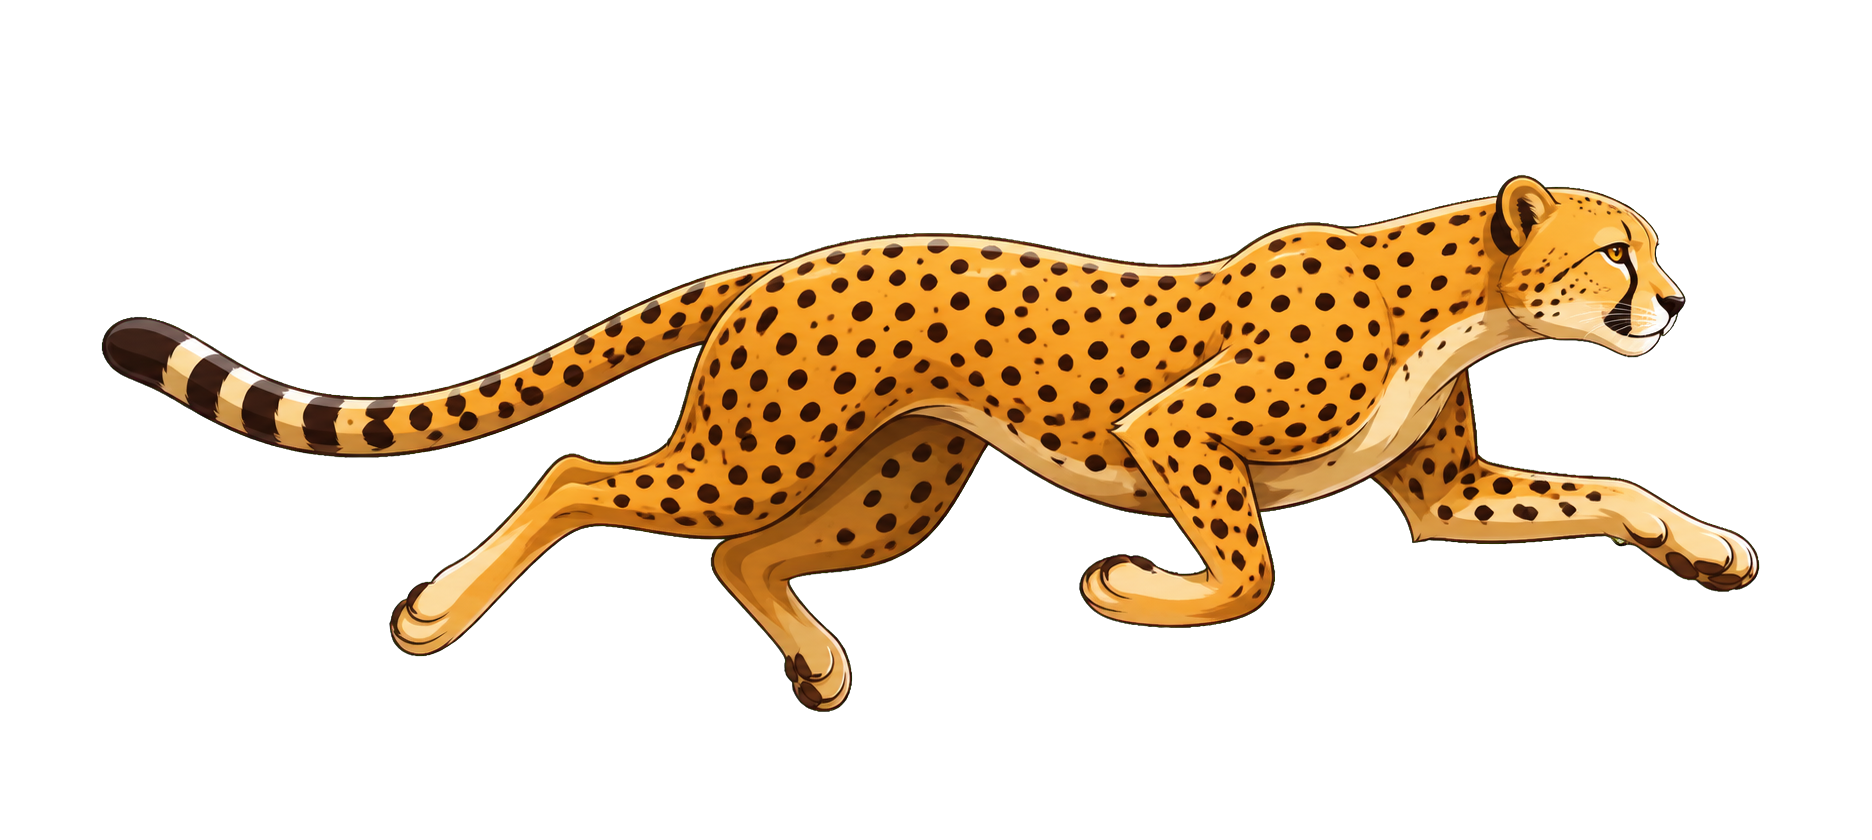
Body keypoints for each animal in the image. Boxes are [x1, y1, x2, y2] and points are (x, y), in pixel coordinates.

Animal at [104, 175, 1756, 710]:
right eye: (1620, 254)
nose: (1679, 306)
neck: (1465, 295)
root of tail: (786, 259)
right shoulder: (1177, 427)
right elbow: (1249, 573)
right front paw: (1129, 589)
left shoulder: (1450, 491)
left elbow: (1604, 487)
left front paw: (1707, 546)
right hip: (761, 447)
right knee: (578, 478)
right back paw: (440, 610)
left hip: (888, 486)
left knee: (742, 557)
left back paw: (820, 663)